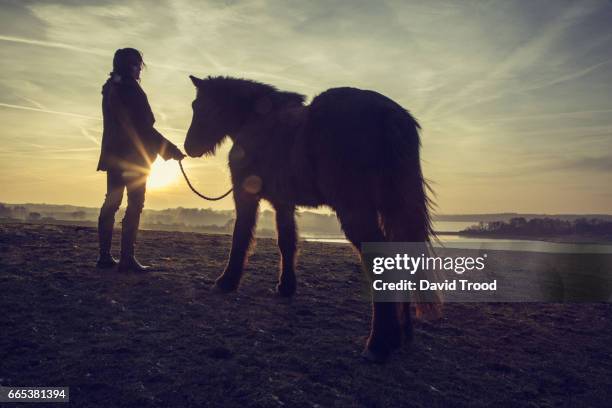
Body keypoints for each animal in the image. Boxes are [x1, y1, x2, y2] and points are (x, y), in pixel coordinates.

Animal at [184, 75, 438, 362]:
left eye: (199, 106)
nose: (189, 147)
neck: (257, 122)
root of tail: (391, 116)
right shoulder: (283, 203)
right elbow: (287, 242)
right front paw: (286, 287)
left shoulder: (245, 195)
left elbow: (241, 237)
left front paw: (226, 282)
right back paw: (402, 334)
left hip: (357, 212)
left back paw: (379, 343)